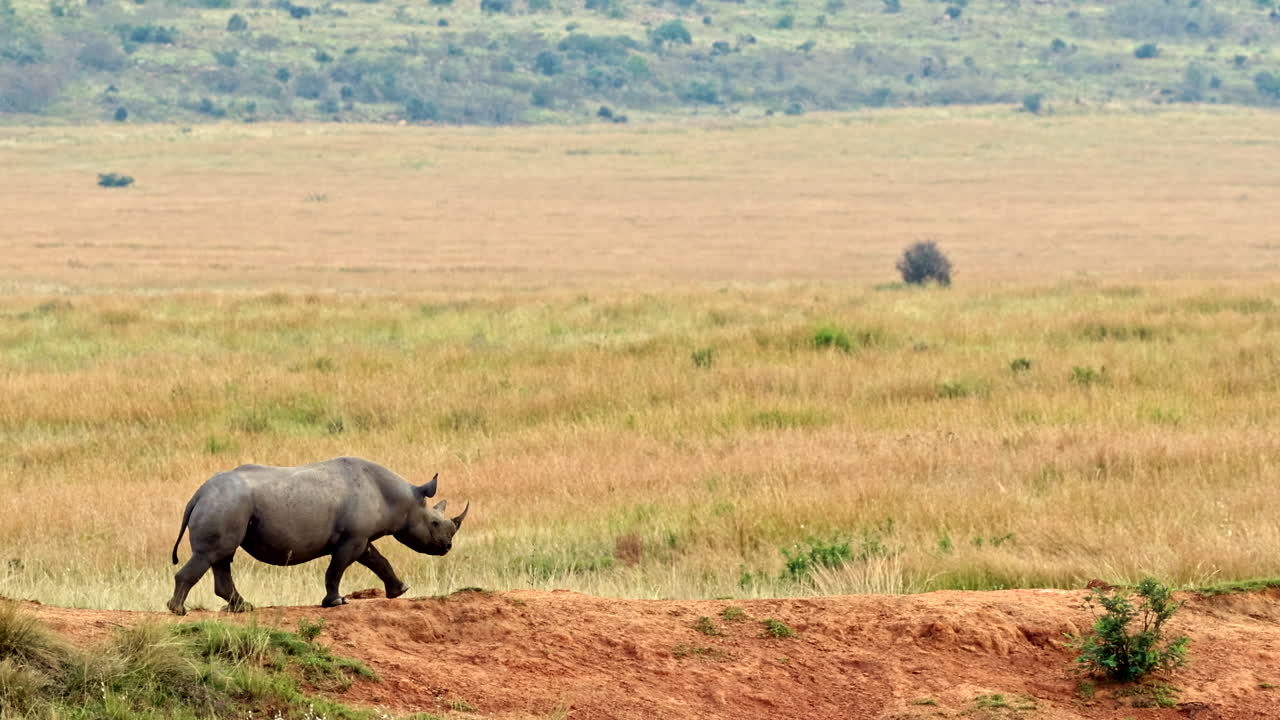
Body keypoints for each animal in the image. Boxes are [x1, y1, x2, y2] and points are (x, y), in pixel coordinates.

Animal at [167, 456, 468, 615]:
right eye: (435, 523)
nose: (448, 546)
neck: (401, 500)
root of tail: (197, 494)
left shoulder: (361, 537)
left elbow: (377, 560)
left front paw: (400, 590)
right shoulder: (351, 539)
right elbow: (336, 570)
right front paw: (336, 602)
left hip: (226, 504)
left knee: (222, 557)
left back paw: (244, 608)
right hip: (227, 503)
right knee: (211, 554)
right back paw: (178, 611)